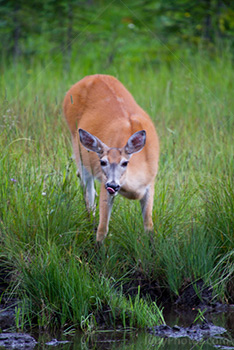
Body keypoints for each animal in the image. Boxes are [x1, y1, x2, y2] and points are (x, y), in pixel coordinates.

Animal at [63, 74, 160, 243]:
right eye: (103, 162)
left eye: (125, 163)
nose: (113, 185)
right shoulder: (104, 183)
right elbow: (103, 228)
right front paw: (98, 247)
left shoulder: (150, 183)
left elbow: (149, 226)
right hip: (79, 152)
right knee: (88, 196)